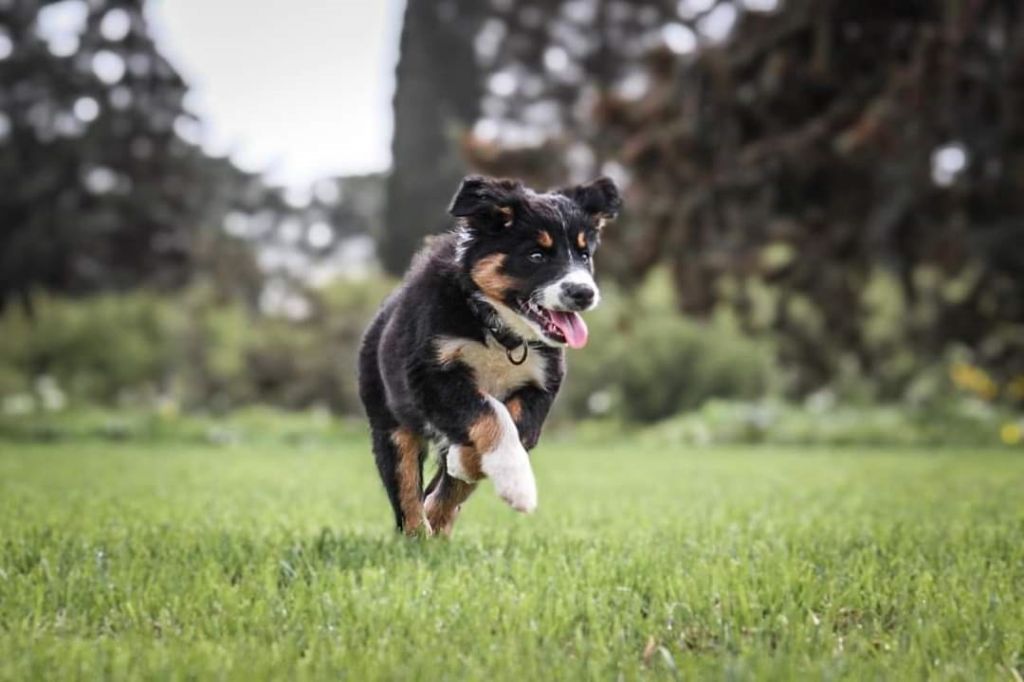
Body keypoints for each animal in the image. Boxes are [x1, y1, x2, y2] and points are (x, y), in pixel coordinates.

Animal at [356, 173, 618, 532]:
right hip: (390, 423)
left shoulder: (542, 384)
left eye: (584, 255)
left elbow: (516, 427)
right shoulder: (430, 376)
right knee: (407, 494)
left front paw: (464, 464)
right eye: (537, 255)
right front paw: (518, 486)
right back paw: (419, 534)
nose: (584, 293)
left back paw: (439, 513)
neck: (499, 332)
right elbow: (491, 413)